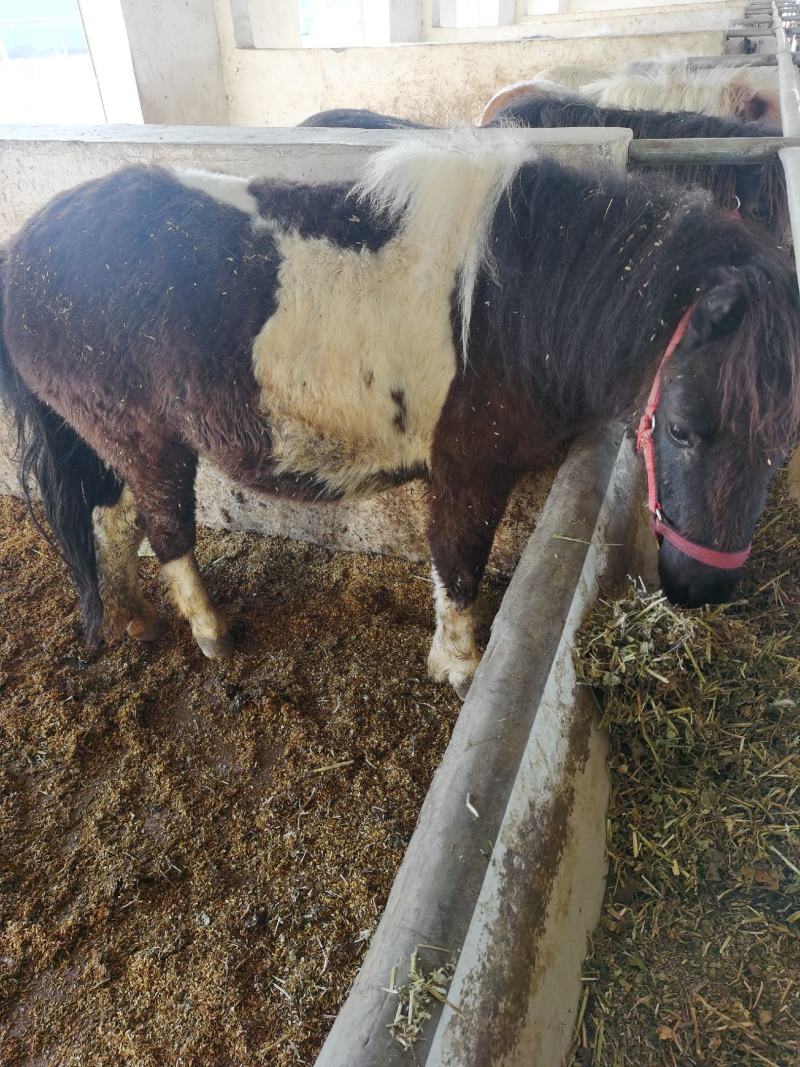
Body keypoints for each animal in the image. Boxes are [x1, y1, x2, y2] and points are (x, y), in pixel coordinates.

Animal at [2, 134, 799, 698]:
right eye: (681, 428)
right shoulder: (468, 472)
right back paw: (210, 632)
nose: (702, 590)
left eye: (782, 447)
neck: (513, 308)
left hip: (108, 437)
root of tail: (27, 254)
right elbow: (459, 565)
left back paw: (134, 618)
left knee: (111, 522)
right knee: (165, 532)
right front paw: (459, 666)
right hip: (142, 438)